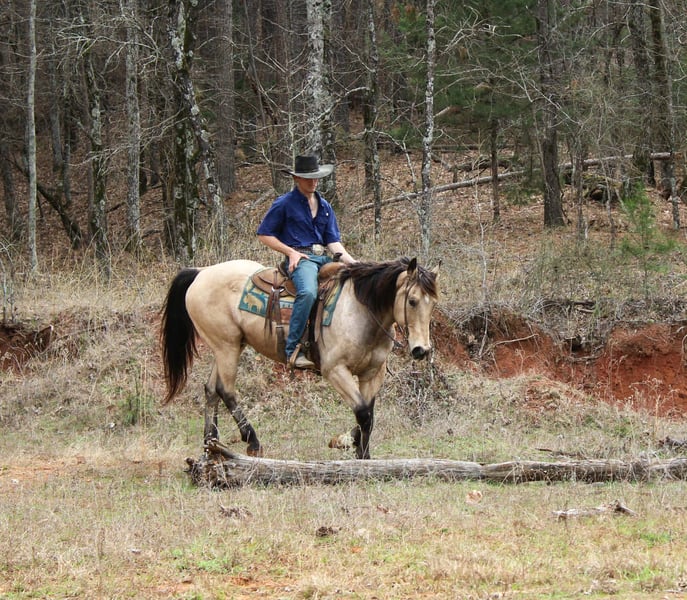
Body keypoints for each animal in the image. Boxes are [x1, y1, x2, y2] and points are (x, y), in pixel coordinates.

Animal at [160, 256, 439, 459]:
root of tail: (201, 272)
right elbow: (362, 412)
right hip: (226, 346)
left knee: (210, 390)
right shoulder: (335, 370)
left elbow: (368, 415)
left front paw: (359, 450)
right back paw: (252, 442)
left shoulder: (372, 373)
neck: (360, 311)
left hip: (227, 347)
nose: (421, 350)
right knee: (225, 390)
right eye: (412, 301)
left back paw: (210, 444)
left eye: (433, 304)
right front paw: (355, 450)